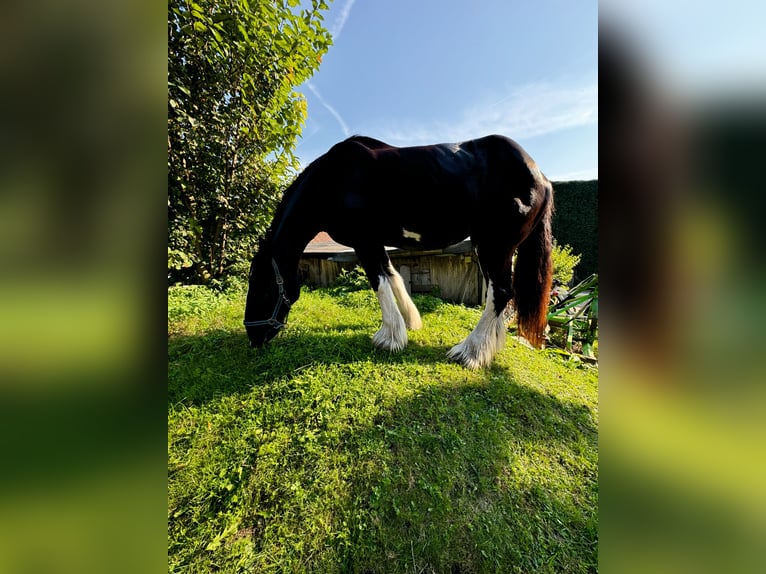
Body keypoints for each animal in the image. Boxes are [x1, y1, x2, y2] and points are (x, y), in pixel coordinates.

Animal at [249, 134, 556, 368]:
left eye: (262, 287)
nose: (253, 337)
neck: (331, 181)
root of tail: (541, 176)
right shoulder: (373, 243)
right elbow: (392, 275)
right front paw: (408, 323)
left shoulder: (364, 241)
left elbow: (379, 282)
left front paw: (389, 337)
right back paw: (488, 346)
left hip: (494, 245)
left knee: (501, 292)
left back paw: (470, 352)